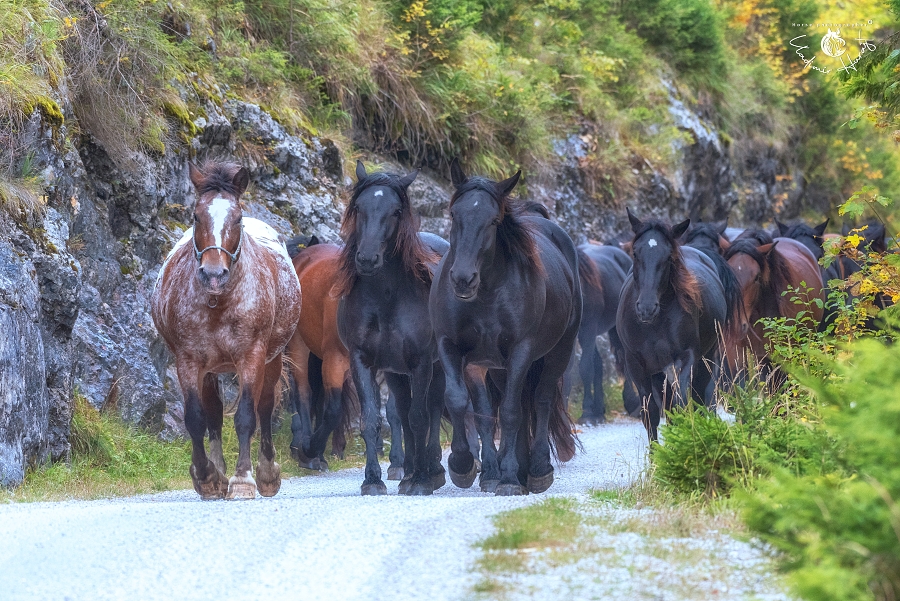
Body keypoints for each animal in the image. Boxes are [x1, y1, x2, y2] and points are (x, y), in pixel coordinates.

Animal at [149, 162, 300, 500]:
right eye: (196, 216)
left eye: (237, 218)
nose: (214, 274)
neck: (219, 302)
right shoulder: (189, 361)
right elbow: (196, 418)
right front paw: (206, 476)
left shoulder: (252, 357)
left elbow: (246, 416)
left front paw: (243, 479)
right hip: (211, 368)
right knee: (214, 414)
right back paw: (217, 471)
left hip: (271, 360)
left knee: (264, 408)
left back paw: (267, 473)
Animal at [336, 162, 444, 494]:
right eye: (359, 207)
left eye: (396, 211)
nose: (367, 259)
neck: (385, 298)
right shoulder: (362, 360)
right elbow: (372, 419)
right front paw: (372, 480)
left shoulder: (422, 362)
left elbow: (421, 418)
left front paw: (422, 481)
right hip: (396, 372)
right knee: (403, 414)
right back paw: (407, 472)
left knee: (434, 409)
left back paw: (432, 470)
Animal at [620, 211, 732, 440]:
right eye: (635, 253)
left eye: (668, 256)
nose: (646, 308)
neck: (653, 325)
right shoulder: (636, 365)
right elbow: (651, 413)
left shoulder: (685, 358)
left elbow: (682, 404)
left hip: (707, 357)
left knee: (700, 398)